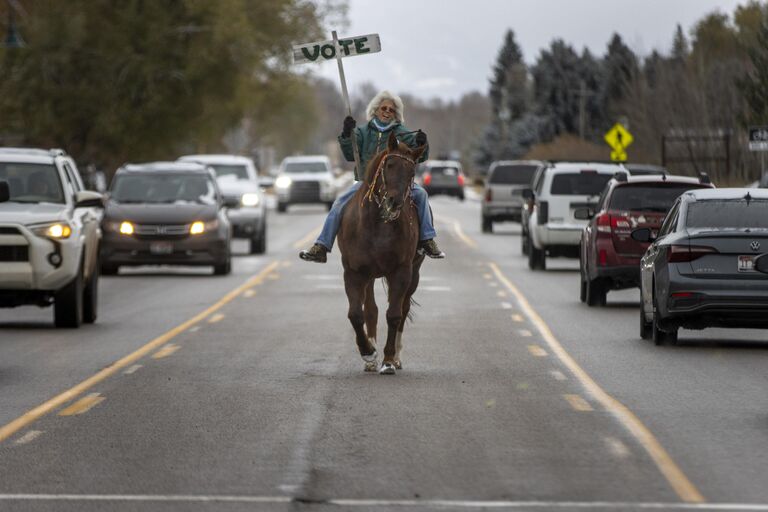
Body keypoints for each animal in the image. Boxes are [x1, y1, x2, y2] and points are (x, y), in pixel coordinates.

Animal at [340, 130, 428, 374]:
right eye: (389, 164)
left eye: (412, 171)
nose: (394, 202)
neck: (378, 225)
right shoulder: (354, 272)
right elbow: (356, 313)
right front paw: (368, 352)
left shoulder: (402, 271)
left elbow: (394, 314)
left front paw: (388, 360)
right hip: (369, 276)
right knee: (371, 309)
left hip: (414, 273)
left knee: (403, 308)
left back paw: (396, 357)